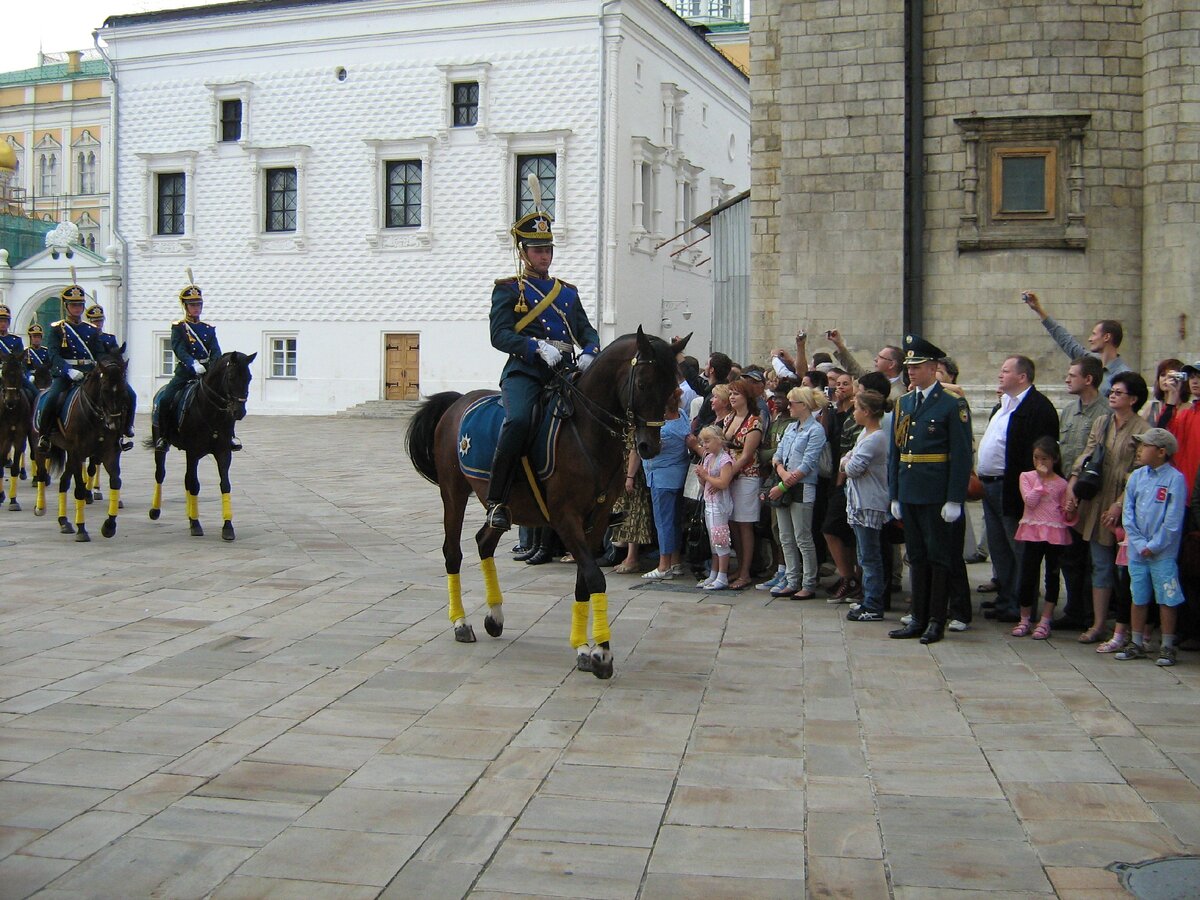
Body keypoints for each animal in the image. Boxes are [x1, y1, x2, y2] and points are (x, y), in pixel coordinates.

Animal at [31, 348, 130, 540]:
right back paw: (40, 507)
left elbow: (115, 482)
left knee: (63, 482)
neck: (96, 415)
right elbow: (79, 490)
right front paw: (82, 529)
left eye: (123, 389)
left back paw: (64, 522)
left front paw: (109, 526)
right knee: (41, 474)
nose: (114, 424)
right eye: (105, 390)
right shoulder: (77, 452)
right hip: (42, 448)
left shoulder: (109, 453)